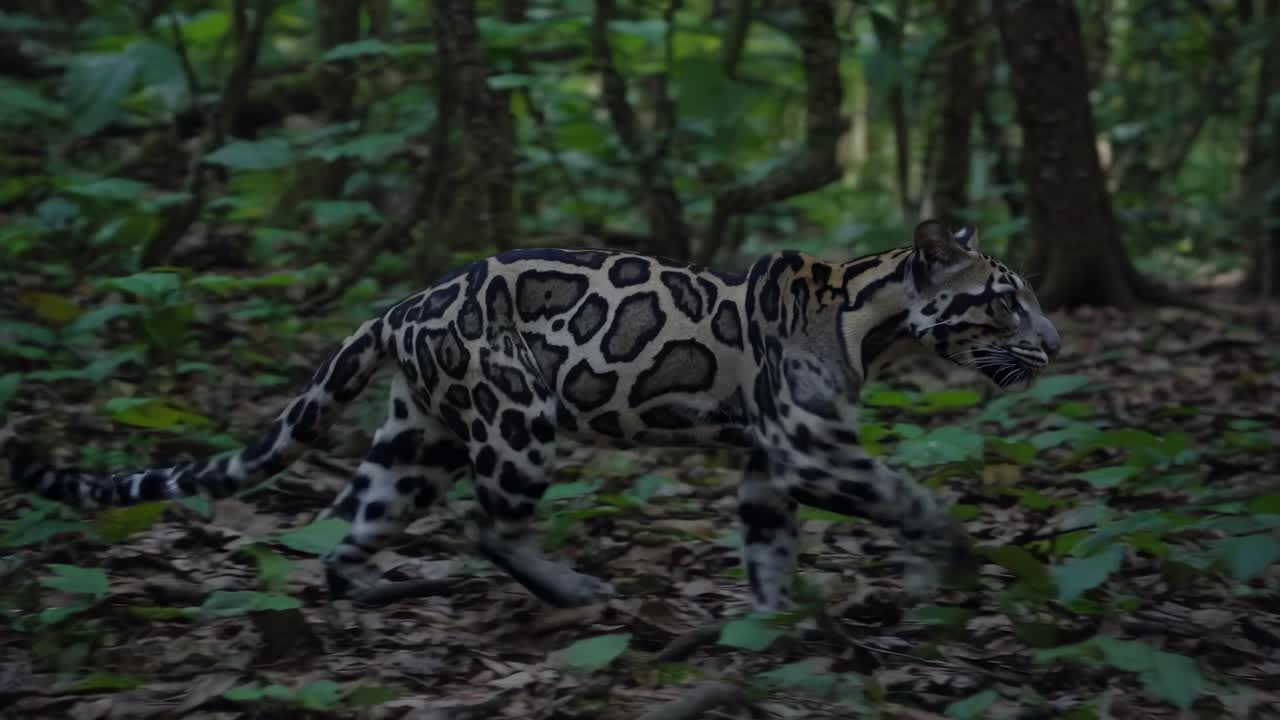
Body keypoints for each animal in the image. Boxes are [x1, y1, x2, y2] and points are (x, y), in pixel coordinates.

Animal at [3, 220, 1060, 612]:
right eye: (1003, 300)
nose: (1054, 344)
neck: (869, 317)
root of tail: (402, 306)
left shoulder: (771, 462)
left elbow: (769, 546)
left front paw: (774, 624)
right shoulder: (809, 448)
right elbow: (908, 493)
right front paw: (946, 556)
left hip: (416, 440)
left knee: (351, 529)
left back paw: (379, 589)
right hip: (516, 417)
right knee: (489, 523)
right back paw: (570, 589)